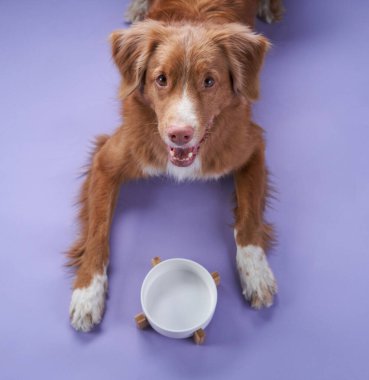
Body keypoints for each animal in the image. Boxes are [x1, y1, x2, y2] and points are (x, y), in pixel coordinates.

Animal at [67, 0, 284, 332]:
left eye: (209, 81)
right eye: (161, 79)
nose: (179, 134)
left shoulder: (251, 146)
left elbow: (248, 220)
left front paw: (257, 274)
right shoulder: (106, 159)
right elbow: (97, 233)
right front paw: (87, 295)